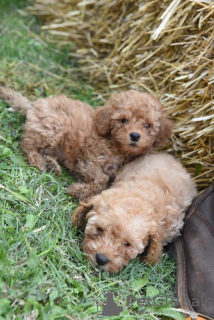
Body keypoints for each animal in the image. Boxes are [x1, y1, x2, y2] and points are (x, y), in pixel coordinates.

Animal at [0, 87, 172, 200]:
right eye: (123, 120)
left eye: (148, 125)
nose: (135, 136)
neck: (116, 146)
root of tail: (34, 106)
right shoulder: (89, 159)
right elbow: (101, 179)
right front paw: (78, 190)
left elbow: (104, 181)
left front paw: (81, 190)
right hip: (57, 126)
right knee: (27, 143)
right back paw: (39, 161)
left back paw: (51, 164)